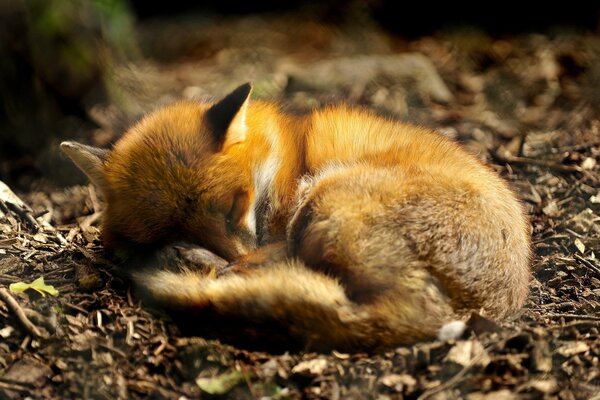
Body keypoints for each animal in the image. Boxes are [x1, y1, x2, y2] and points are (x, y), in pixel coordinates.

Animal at [61, 83, 528, 352]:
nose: (230, 256)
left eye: (234, 206)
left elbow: (264, 255)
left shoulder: (280, 224)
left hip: (325, 199)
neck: (283, 157)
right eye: (168, 227)